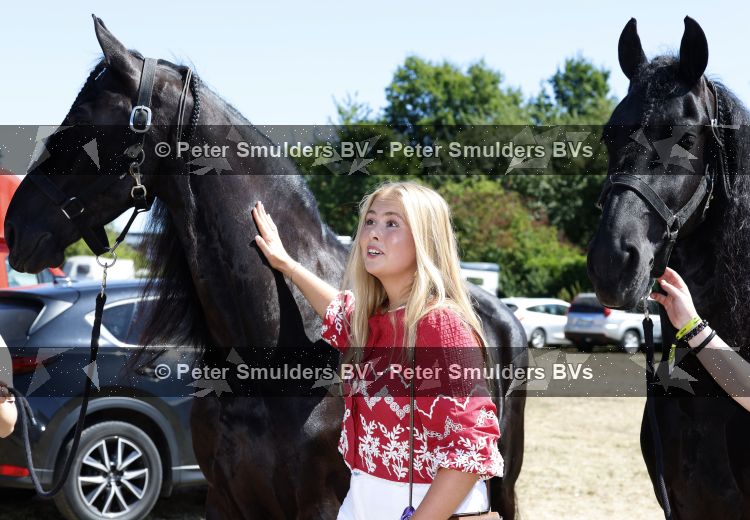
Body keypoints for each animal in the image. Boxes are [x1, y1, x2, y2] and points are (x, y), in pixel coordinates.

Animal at [4, 16, 528, 519]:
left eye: (80, 127)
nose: (16, 227)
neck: (274, 351)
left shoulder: (320, 507)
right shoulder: (224, 500)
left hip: (502, 486)